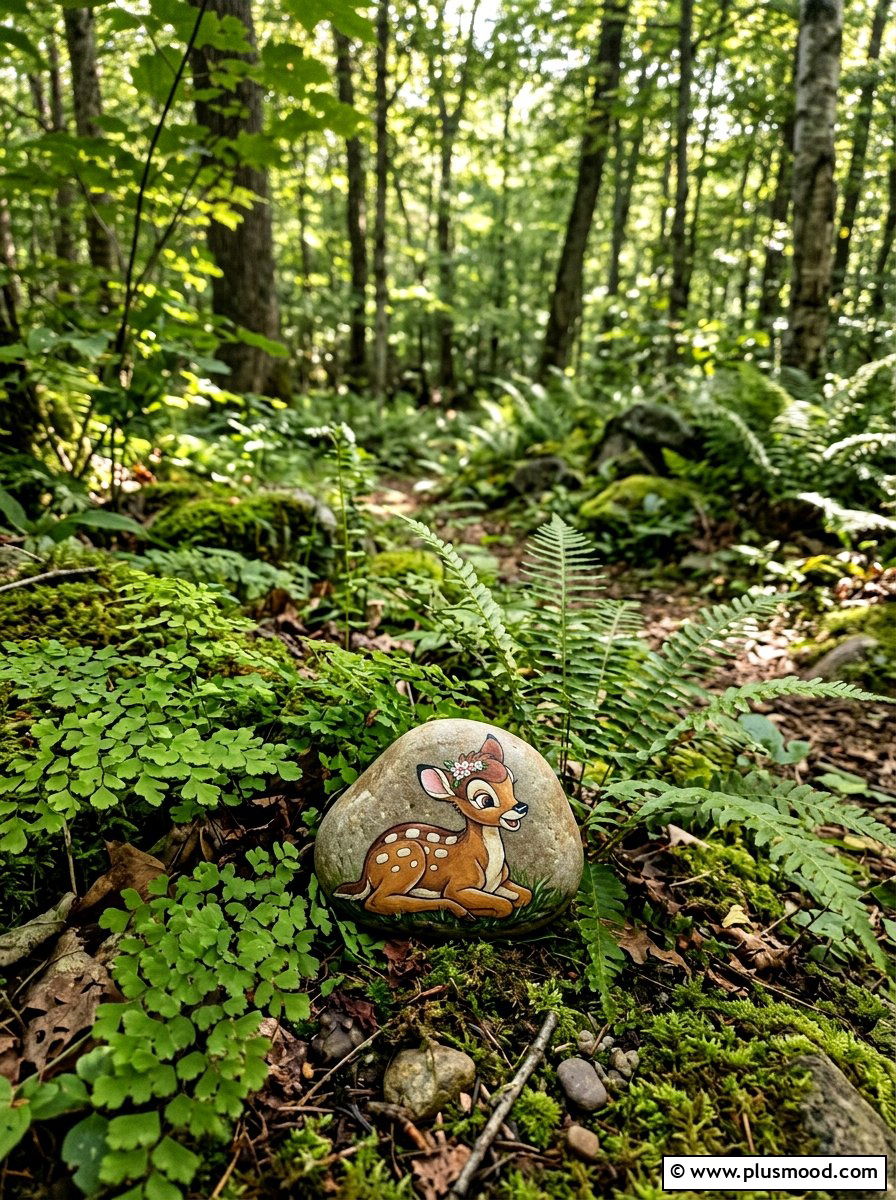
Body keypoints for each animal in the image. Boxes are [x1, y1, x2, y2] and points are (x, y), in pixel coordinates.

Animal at [334, 734, 532, 920]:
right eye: (485, 800)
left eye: (511, 784)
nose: (521, 807)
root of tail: (365, 869)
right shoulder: (457, 885)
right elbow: (504, 905)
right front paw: (480, 911)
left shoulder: (501, 882)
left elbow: (527, 895)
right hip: (408, 858)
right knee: (376, 901)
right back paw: (460, 911)